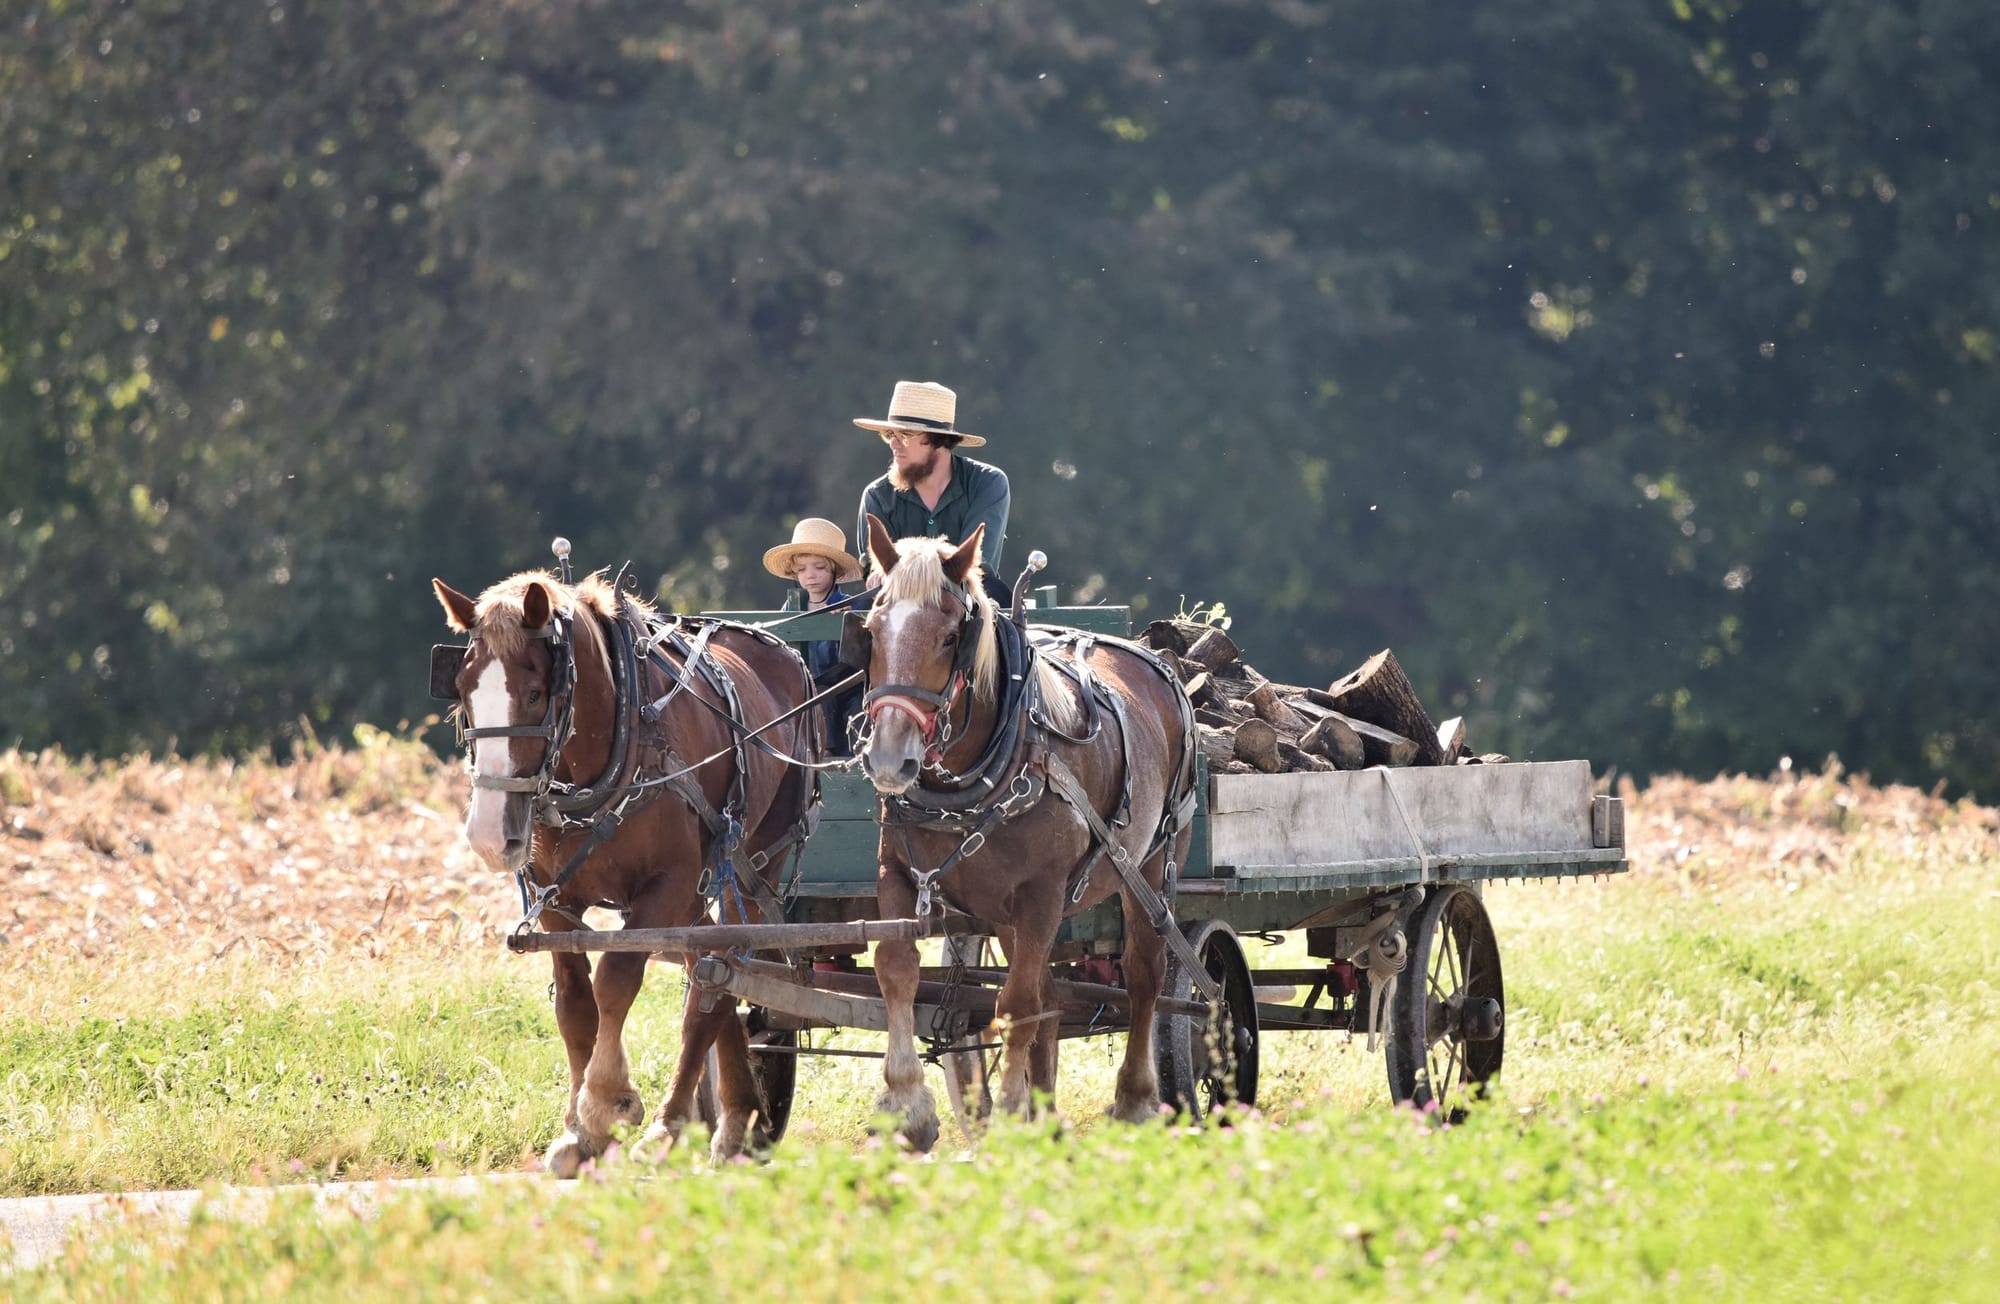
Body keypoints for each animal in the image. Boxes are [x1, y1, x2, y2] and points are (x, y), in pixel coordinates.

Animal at [434, 572, 816, 1168]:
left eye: (536, 693)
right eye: (464, 691)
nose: (490, 837)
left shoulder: (666, 886)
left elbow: (616, 981)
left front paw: (604, 1103)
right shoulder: (556, 900)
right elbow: (574, 1004)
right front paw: (575, 1131)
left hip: (752, 868)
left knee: (717, 976)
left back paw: (672, 1124)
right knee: (714, 971)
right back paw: (737, 1120)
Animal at [852, 516, 1192, 1144]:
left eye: (948, 638)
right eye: (871, 630)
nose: (888, 759)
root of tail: (1153, 663)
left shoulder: (1043, 894)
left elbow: (1012, 1005)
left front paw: (1011, 1109)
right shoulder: (900, 874)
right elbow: (896, 970)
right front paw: (907, 1104)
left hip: (1151, 867)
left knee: (1143, 975)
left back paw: (1134, 1100)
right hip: (1009, 915)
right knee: (1050, 998)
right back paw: (1049, 1114)